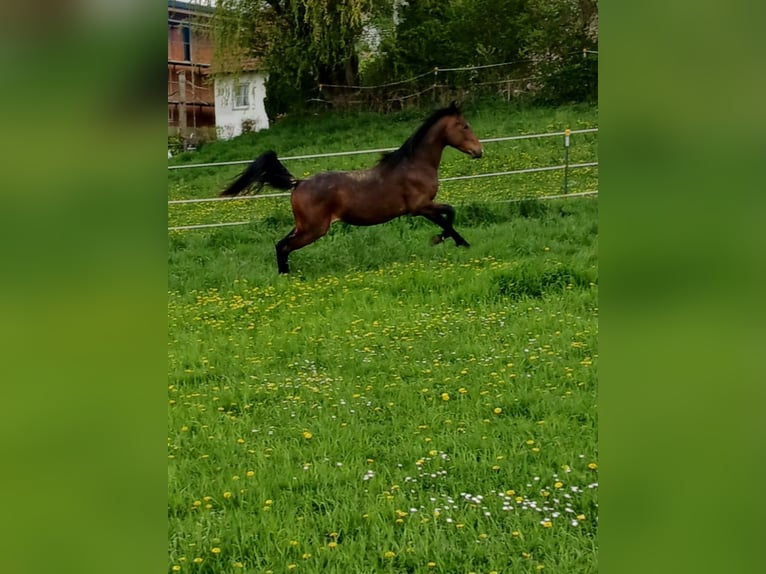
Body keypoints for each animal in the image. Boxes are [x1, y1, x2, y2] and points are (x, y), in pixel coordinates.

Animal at [219, 101, 483, 274]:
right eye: (464, 126)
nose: (479, 151)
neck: (415, 165)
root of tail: (299, 183)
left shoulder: (423, 208)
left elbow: (447, 217)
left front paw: (457, 242)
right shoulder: (420, 207)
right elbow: (449, 215)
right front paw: (445, 240)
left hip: (304, 226)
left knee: (279, 244)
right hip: (314, 229)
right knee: (284, 247)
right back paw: (287, 276)